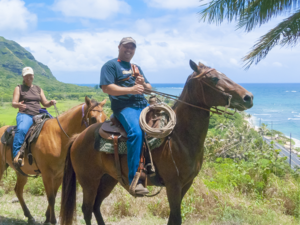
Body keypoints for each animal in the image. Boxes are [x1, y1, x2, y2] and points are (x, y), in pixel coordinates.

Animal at [0, 97, 107, 225]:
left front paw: (47, 218)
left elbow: (54, 195)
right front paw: (52, 220)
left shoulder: (59, 175)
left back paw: (29, 216)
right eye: (93, 118)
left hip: (21, 172)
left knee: (18, 190)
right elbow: (50, 197)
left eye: (105, 118)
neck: (58, 138)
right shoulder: (47, 174)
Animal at [59, 60, 252, 224]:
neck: (178, 139)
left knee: (96, 206)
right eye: (214, 78)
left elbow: (173, 219)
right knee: (87, 209)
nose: (248, 97)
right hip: (89, 180)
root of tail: (78, 137)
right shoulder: (173, 185)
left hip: (108, 179)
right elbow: (176, 218)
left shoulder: (186, 184)